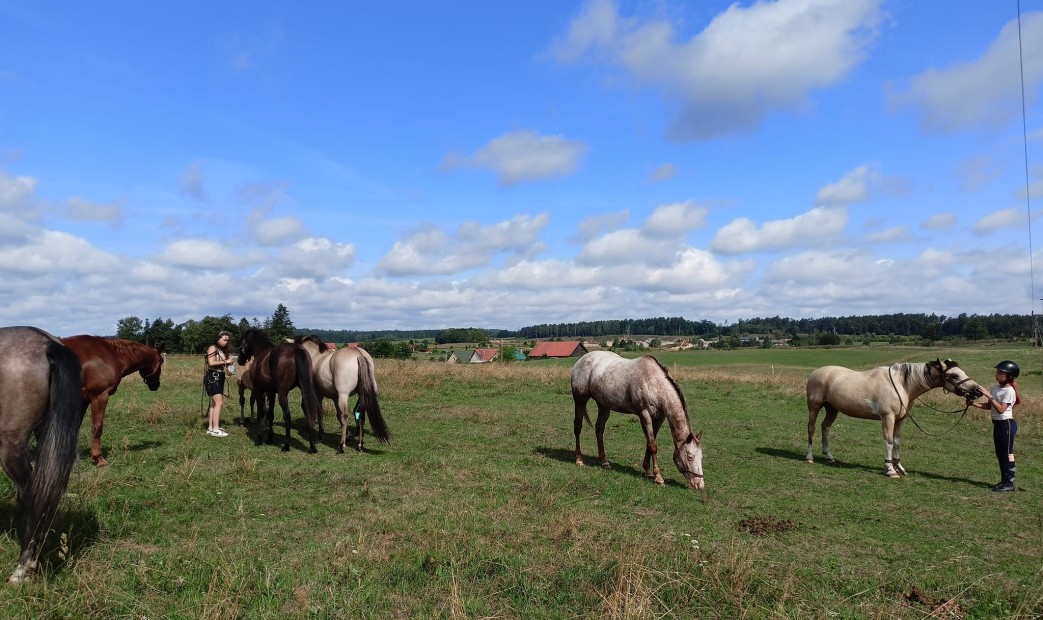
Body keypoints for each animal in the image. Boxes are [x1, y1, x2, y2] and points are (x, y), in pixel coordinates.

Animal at [61, 334, 164, 463]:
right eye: (161, 361)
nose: (156, 385)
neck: (110, 354)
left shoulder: (82, 400)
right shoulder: (99, 396)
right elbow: (97, 427)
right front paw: (98, 457)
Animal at [571, 350, 709, 490]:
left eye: (701, 456)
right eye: (690, 457)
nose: (699, 484)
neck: (655, 383)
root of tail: (582, 359)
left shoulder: (659, 418)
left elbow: (650, 443)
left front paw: (648, 471)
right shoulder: (644, 414)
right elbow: (653, 445)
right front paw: (658, 478)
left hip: (603, 405)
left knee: (599, 429)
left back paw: (604, 462)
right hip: (580, 400)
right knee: (577, 427)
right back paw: (579, 459)